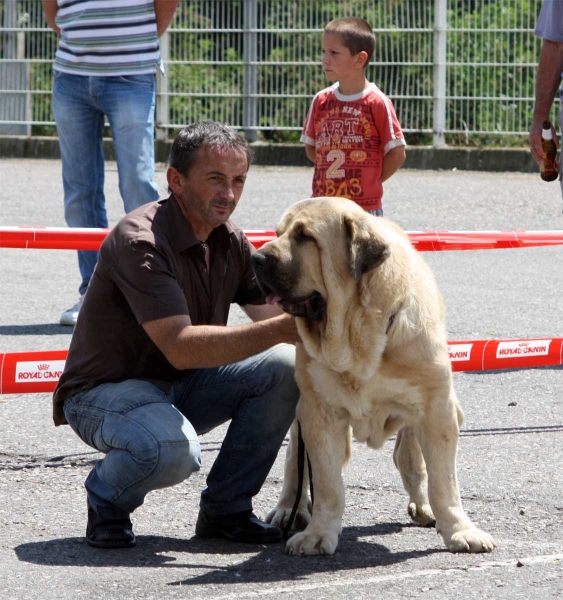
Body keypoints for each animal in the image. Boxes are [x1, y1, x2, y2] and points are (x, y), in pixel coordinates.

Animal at [252, 198, 498, 556]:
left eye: (305, 236)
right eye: (277, 233)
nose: (256, 258)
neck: (359, 338)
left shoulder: (437, 407)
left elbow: (444, 482)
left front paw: (459, 531)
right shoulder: (318, 411)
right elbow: (327, 482)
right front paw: (318, 533)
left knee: (410, 453)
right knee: (295, 457)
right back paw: (289, 508)